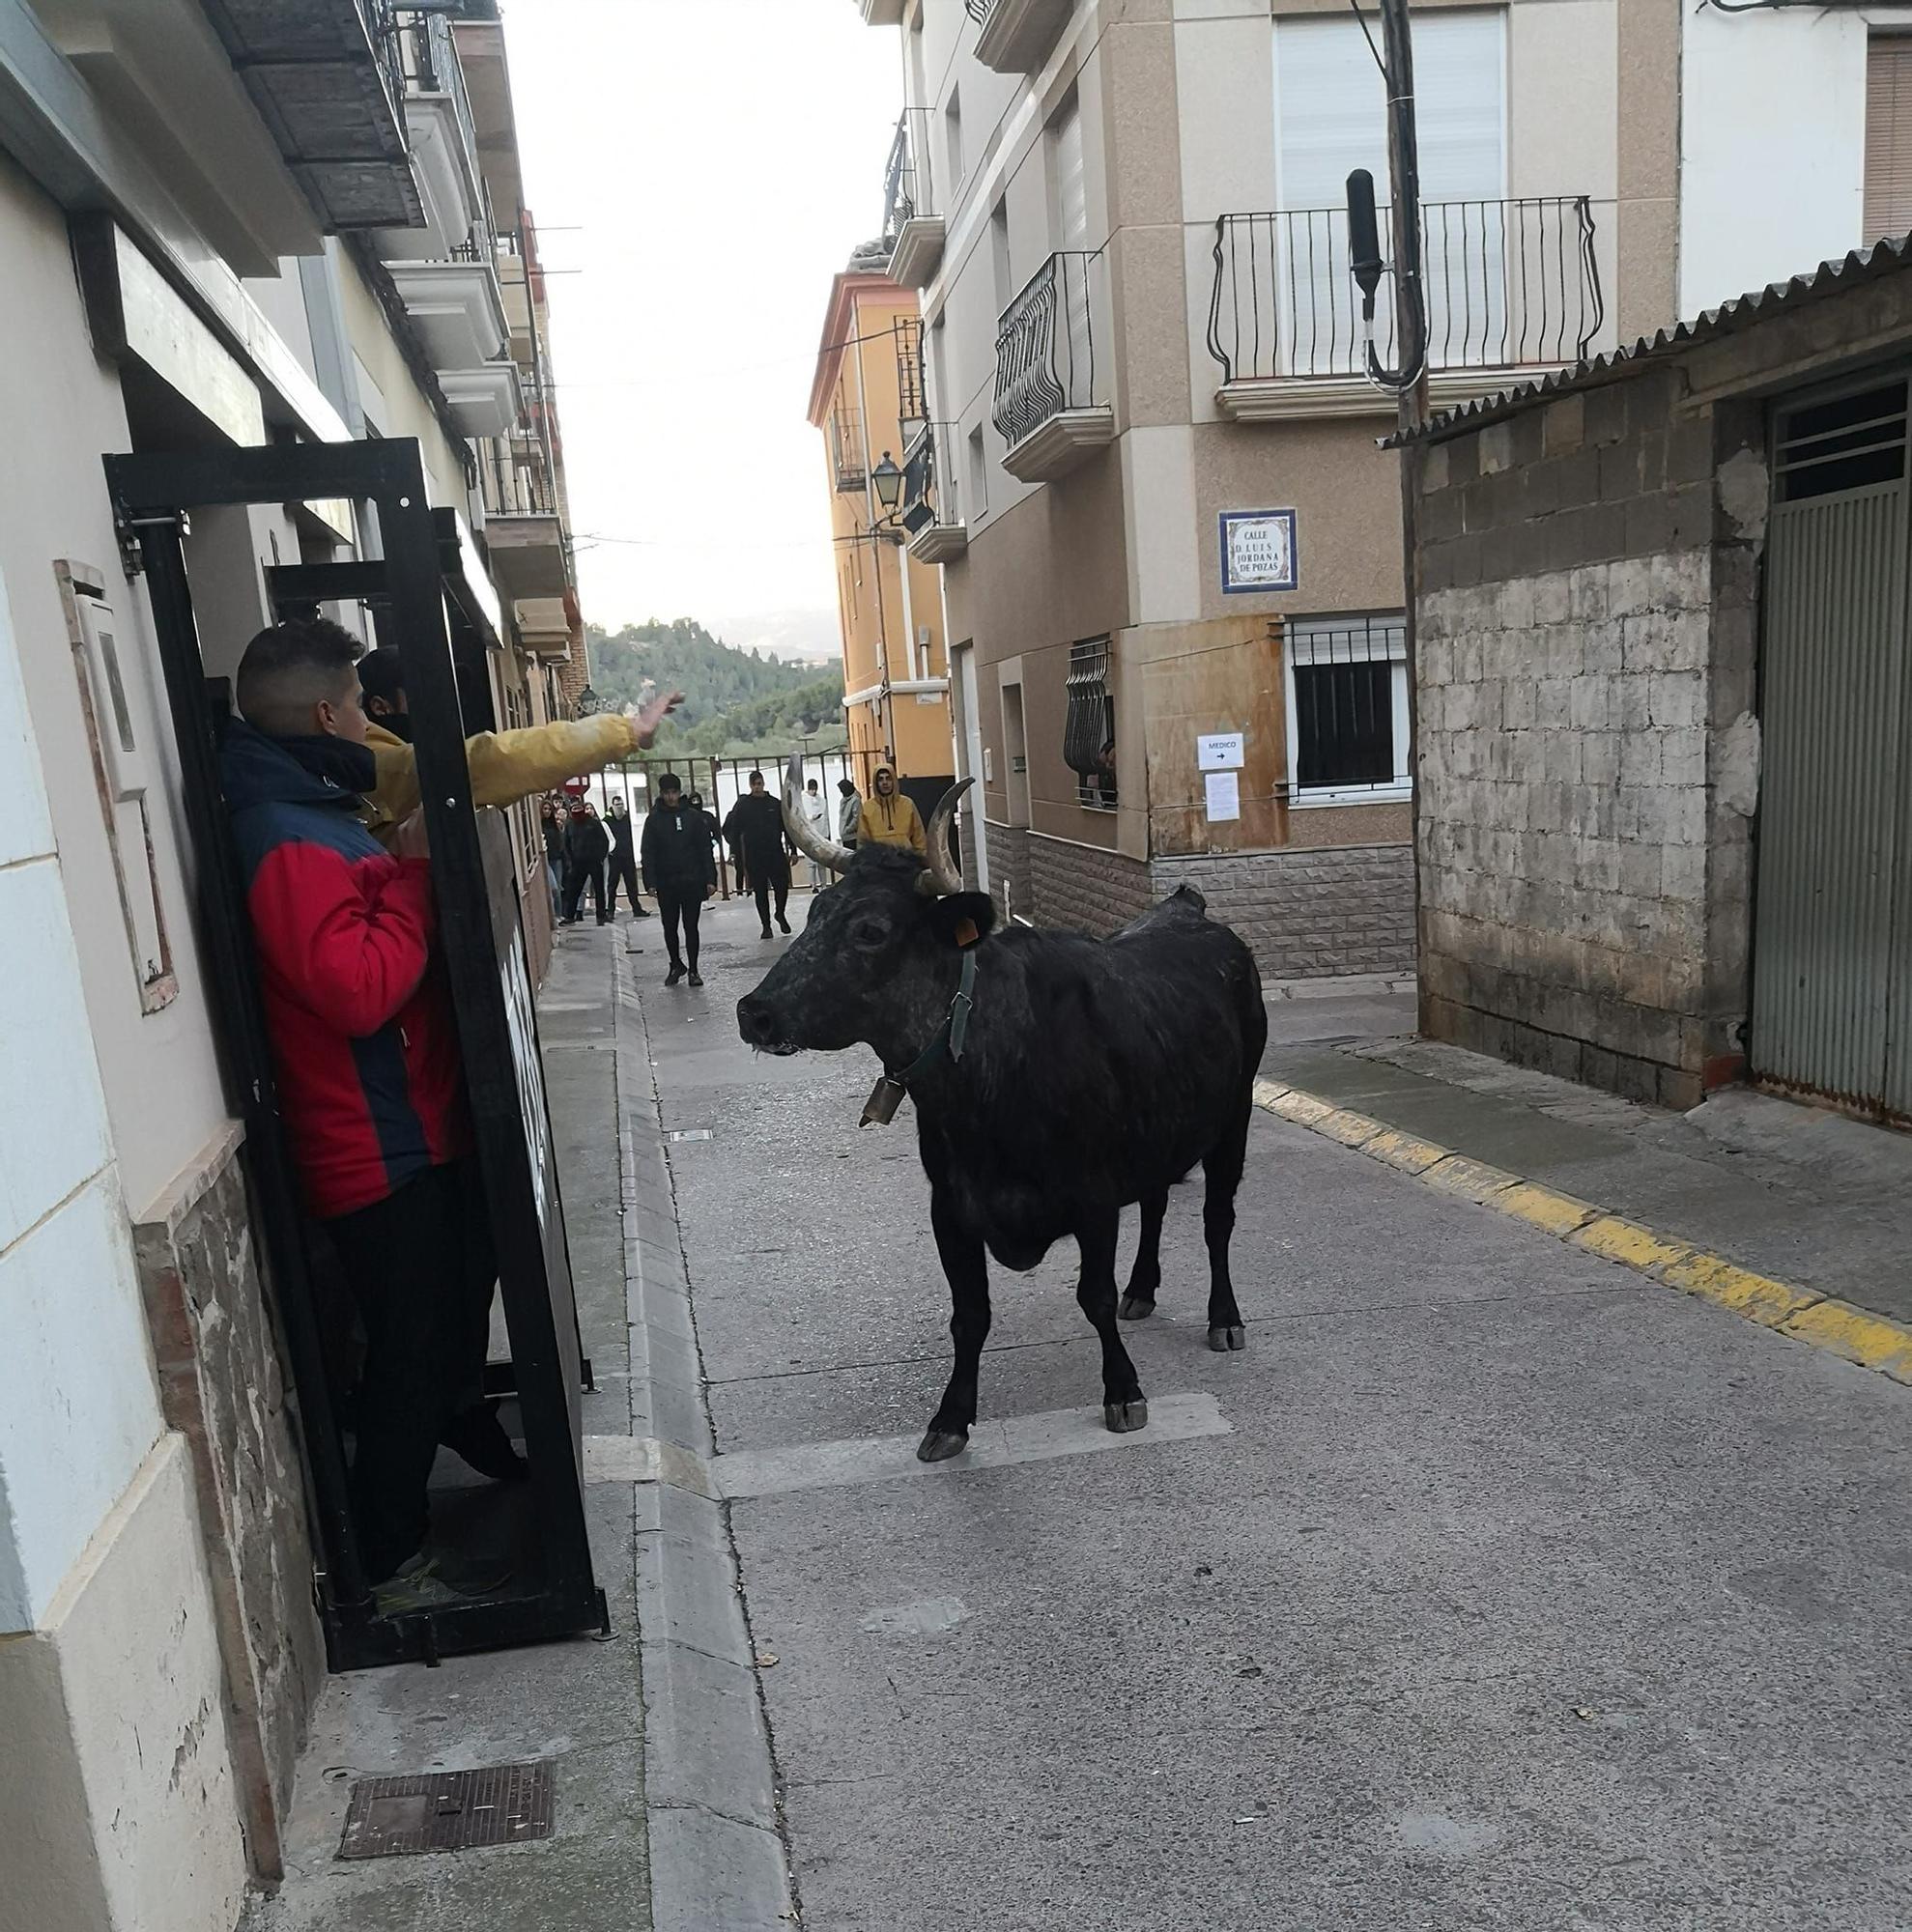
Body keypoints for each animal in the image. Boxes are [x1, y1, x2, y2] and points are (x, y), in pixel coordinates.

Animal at [741, 808, 1267, 1453]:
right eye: (816, 911)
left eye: (871, 930)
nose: (754, 1013)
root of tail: (1192, 914)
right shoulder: (951, 1210)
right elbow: (970, 1315)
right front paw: (949, 1418)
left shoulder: (1093, 1199)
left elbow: (1092, 1296)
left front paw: (1122, 1390)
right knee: (1156, 1202)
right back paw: (1141, 1290)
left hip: (1234, 1119)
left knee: (1217, 1221)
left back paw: (1225, 1318)